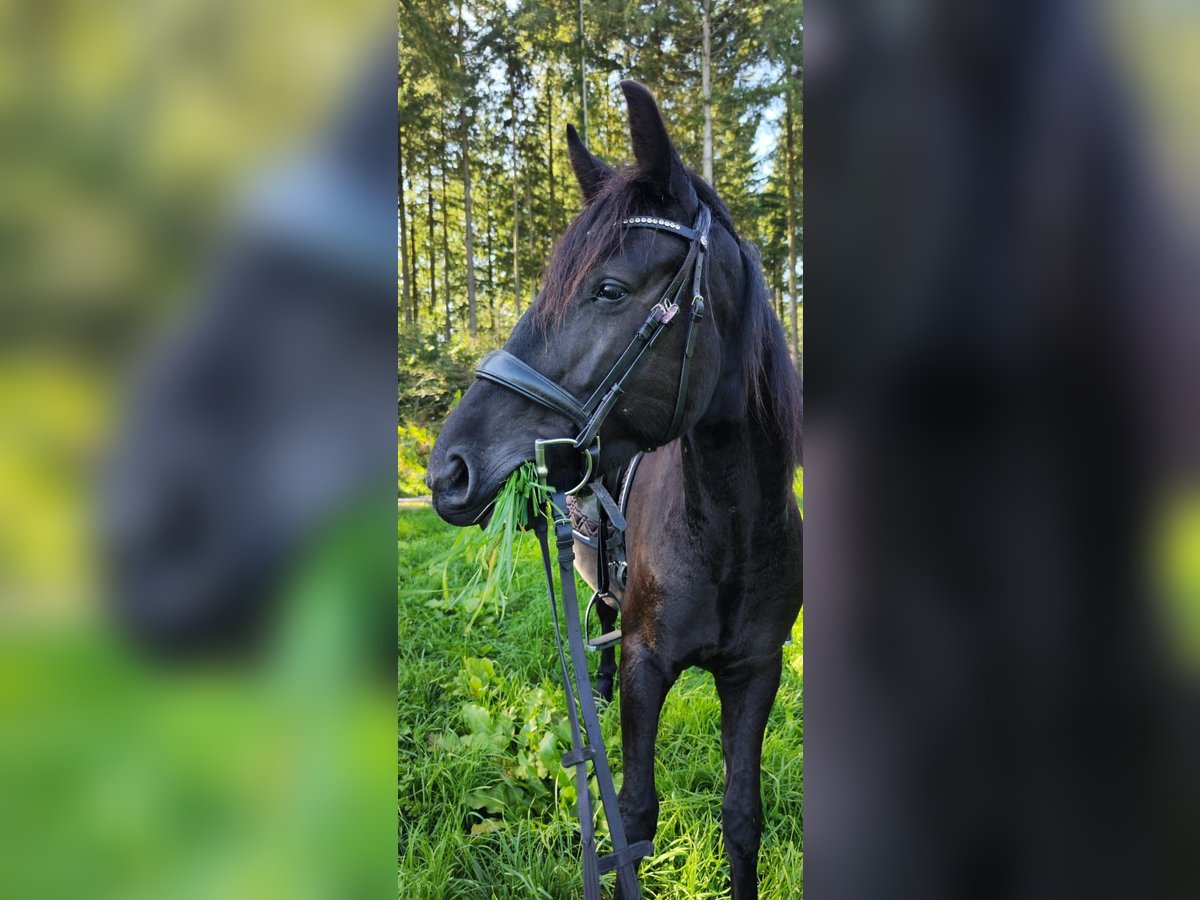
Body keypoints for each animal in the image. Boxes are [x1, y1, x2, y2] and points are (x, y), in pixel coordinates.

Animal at [427, 81, 801, 897]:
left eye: (608, 289)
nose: (447, 470)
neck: (728, 530)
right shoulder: (642, 664)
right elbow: (631, 819)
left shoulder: (756, 672)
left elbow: (741, 819)